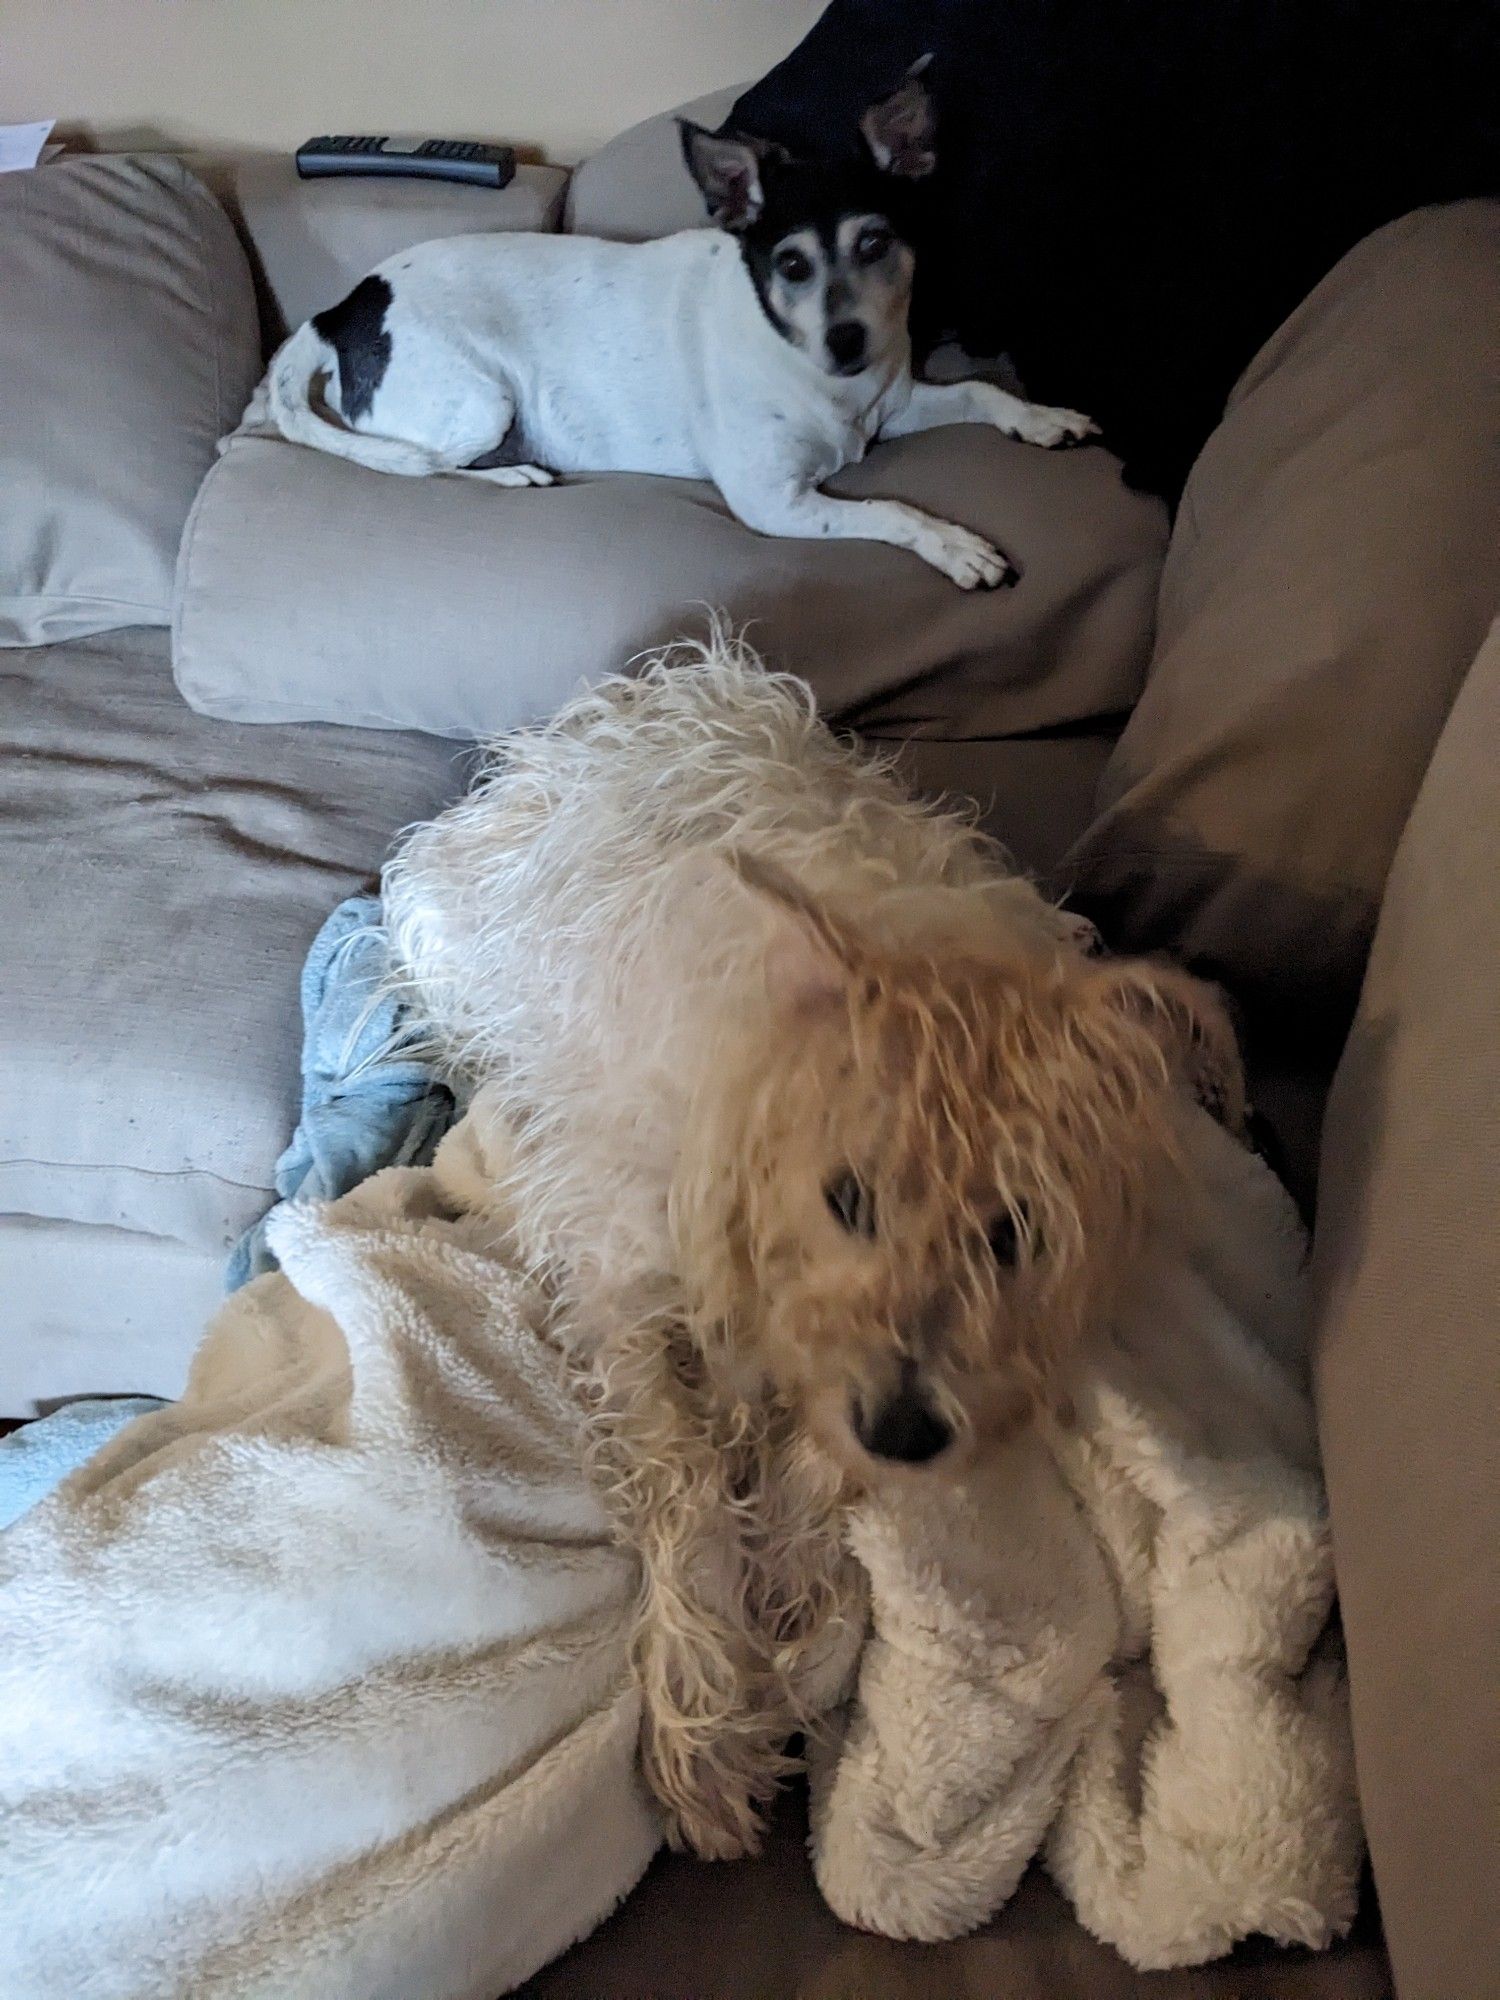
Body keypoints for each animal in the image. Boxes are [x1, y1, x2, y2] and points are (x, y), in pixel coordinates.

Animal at [258, 70, 1096, 584]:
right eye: (790, 263)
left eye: (874, 244)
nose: (847, 342)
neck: (814, 373)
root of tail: (344, 307)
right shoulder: (772, 501)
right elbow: (892, 509)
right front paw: (955, 545)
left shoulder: (896, 404)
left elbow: (986, 392)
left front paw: (1044, 418)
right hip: (481, 401)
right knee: (426, 467)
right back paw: (513, 472)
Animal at [384, 644, 1248, 1856]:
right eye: (846, 1195)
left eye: (1015, 1231)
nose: (909, 1432)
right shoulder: (617, 1275)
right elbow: (685, 1486)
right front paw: (705, 1718)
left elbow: (807, 1441)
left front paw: (793, 1561)